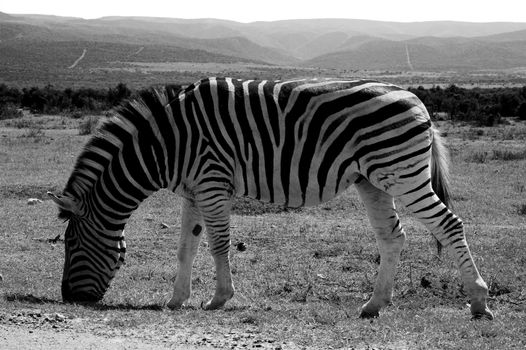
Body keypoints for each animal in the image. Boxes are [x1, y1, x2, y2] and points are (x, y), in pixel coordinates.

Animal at [48, 78, 496, 318]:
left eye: (70, 244)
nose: (69, 298)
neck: (166, 144)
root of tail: (418, 101)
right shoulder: (194, 190)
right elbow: (185, 248)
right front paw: (176, 299)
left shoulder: (212, 181)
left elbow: (218, 244)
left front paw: (218, 298)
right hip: (373, 180)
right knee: (392, 237)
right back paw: (374, 304)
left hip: (402, 172)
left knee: (450, 224)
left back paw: (478, 301)